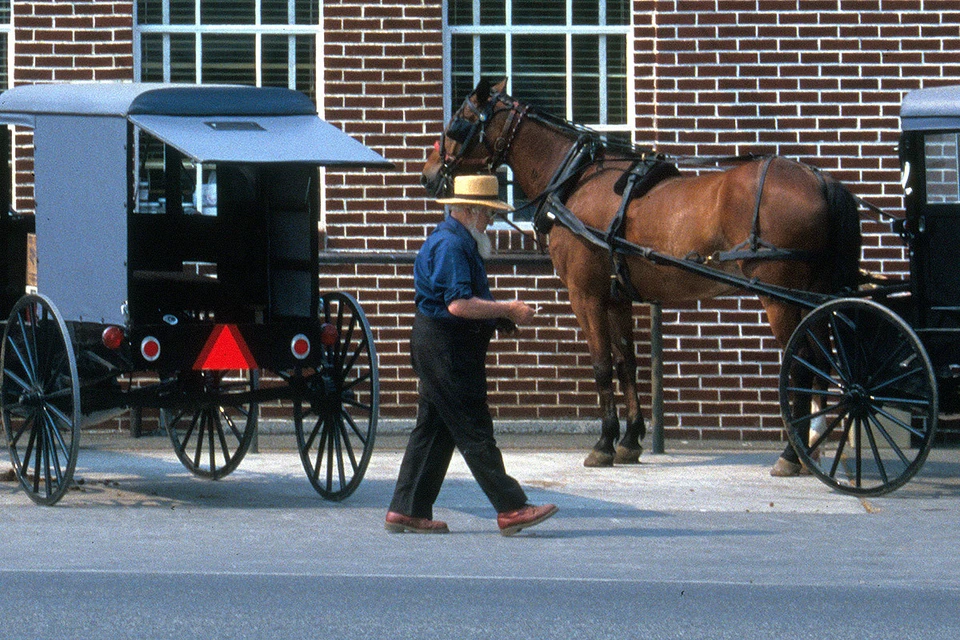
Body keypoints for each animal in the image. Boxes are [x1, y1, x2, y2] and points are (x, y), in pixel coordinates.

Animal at [420, 79, 864, 470]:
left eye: (458, 123)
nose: (428, 175)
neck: (574, 181)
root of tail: (821, 180)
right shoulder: (617, 297)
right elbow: (626, 364)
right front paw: (630, 441)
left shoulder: (586, 295)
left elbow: (602, 366)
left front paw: (603, 443)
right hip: (812, 296)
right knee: (822, 364)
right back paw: (812, 445)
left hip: (779, 298)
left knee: (803, 367)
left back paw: (792, 454)